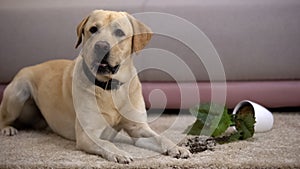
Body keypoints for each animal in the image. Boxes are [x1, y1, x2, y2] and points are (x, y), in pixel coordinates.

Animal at [0, 9, 191, 163]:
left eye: (119, 32)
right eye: (93, 29)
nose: (101, 46)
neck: (109, 88)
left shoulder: (139, 128)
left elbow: (161, 138)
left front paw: (177, 148)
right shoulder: (87, 135)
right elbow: (106, 143)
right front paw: (119, 153)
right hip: (18, 93)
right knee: (4, 118)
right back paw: (8, 129)